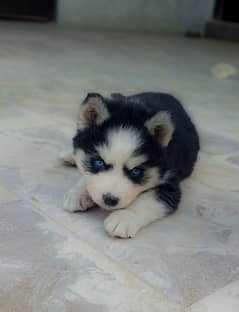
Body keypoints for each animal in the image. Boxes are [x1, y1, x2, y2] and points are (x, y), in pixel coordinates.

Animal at [62, 91, 200, 238]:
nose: (109, 200)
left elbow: (148, 200)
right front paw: (78, 194)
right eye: (99, 162)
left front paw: (124, 217)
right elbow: (86, 175)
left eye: (135, 171)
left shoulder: (170, 182)